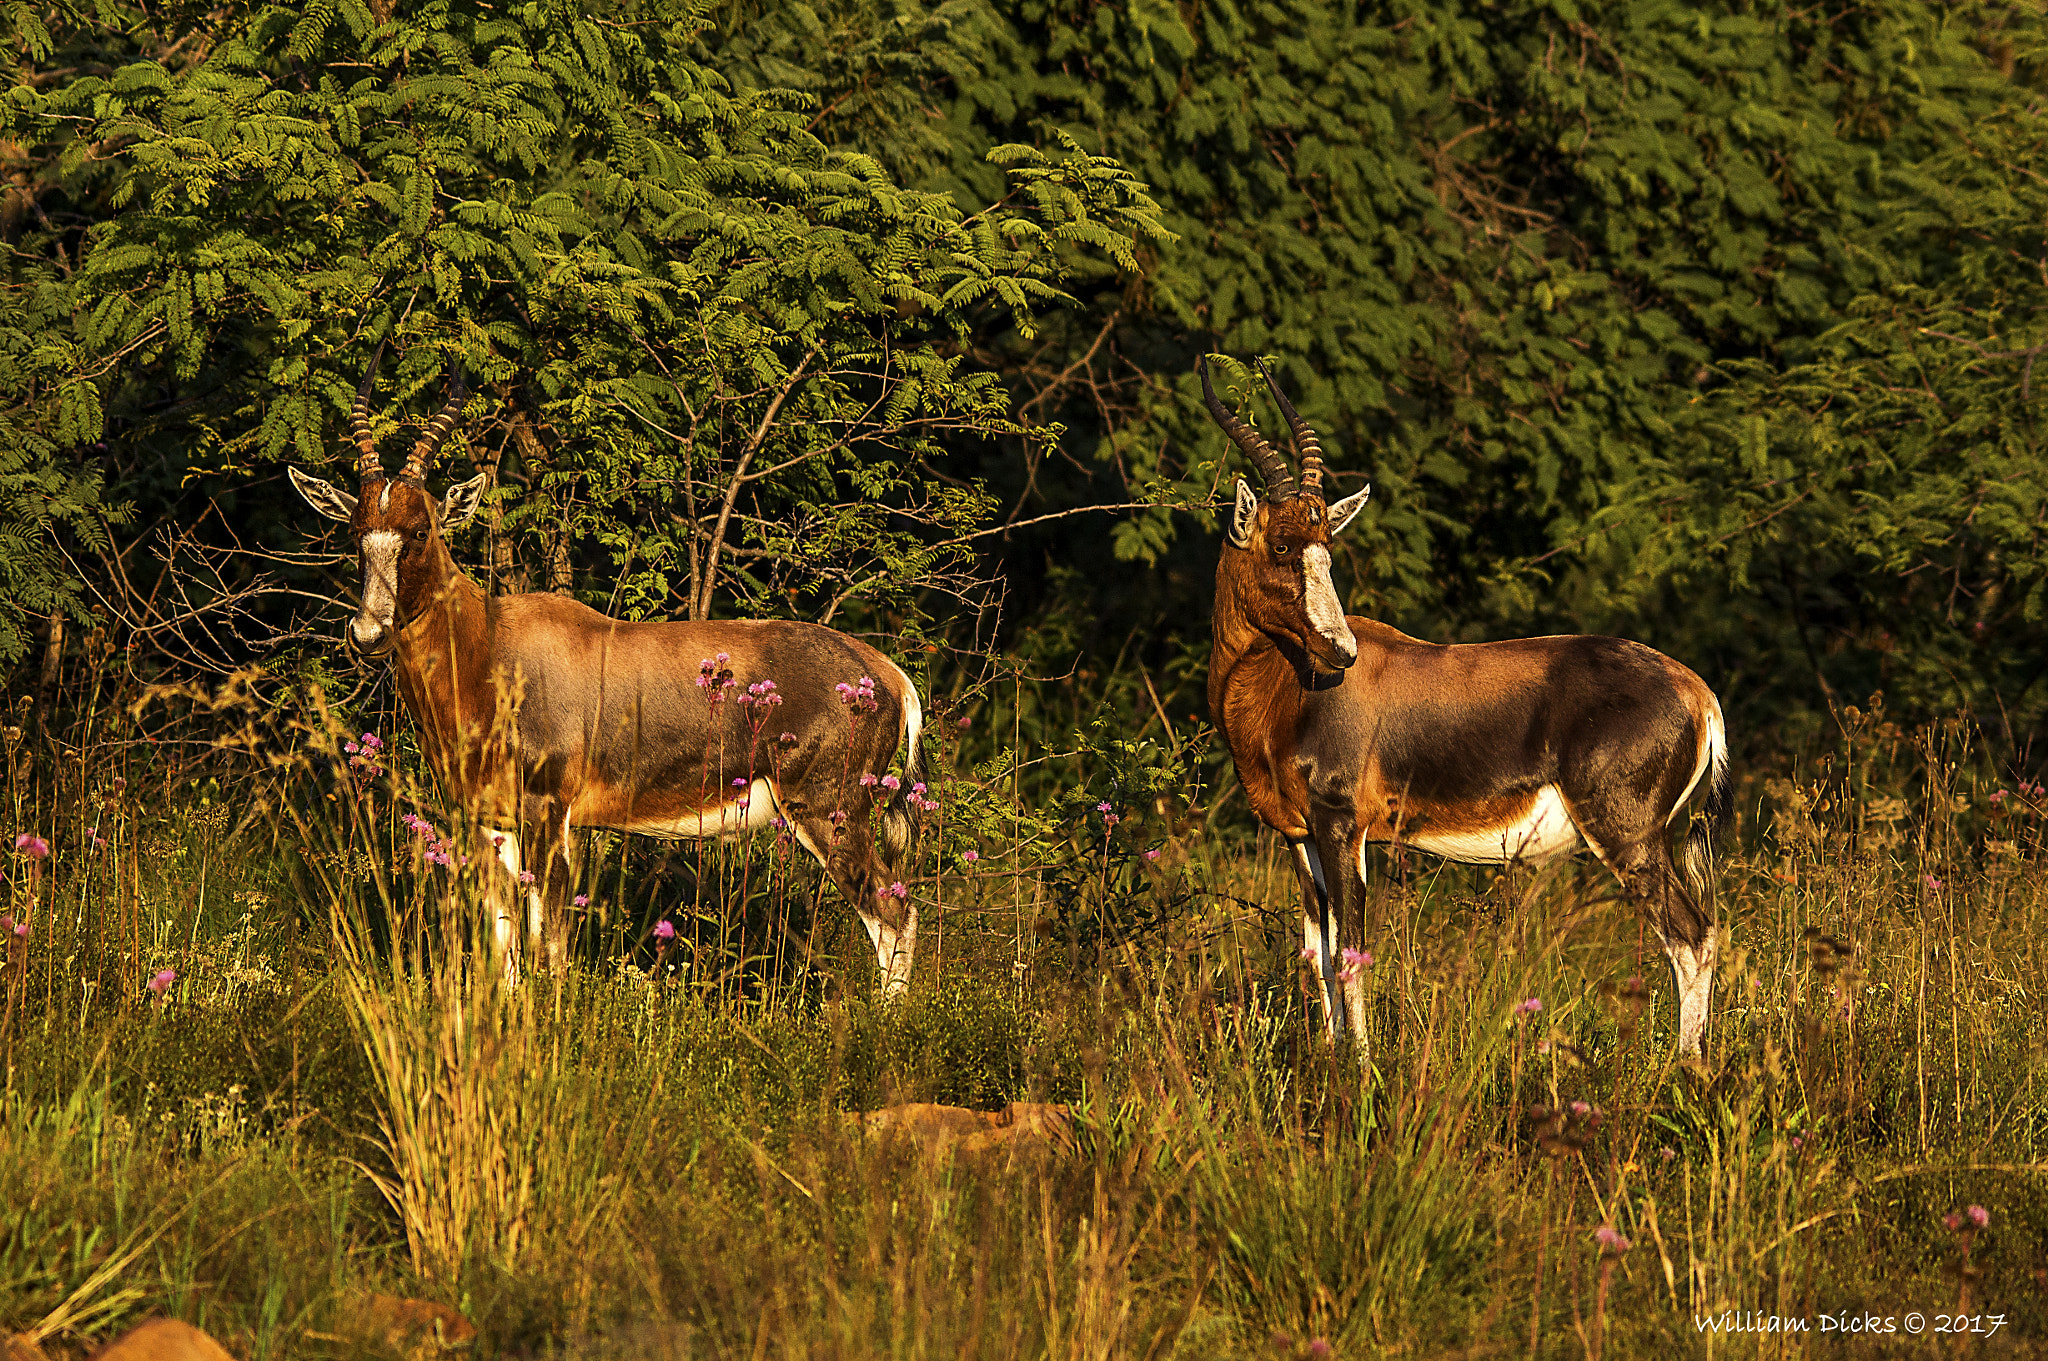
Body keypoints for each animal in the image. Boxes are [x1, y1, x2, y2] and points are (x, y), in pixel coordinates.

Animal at [288, 349, 929, 986]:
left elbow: (550, 943)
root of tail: (885, 673)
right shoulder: (490, 820)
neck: (491, 647)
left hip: (827, 812)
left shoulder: (549, 812)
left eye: (420, 529)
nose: (368, 634)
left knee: (893, 914)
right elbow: (505, 943)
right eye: (356, 531)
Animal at [1196, 356, 1728, 1056]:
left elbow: (1351, 955)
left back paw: (1680, 1067)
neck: (1291, 692)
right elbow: (1318, 955)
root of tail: (1698, 692)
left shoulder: (1343, 827)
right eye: (1283, 546)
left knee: (1691, 935)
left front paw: (1361, 1069)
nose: (1341, 652)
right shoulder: (1298, 836)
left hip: (1628, 835)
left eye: (1325, 548)